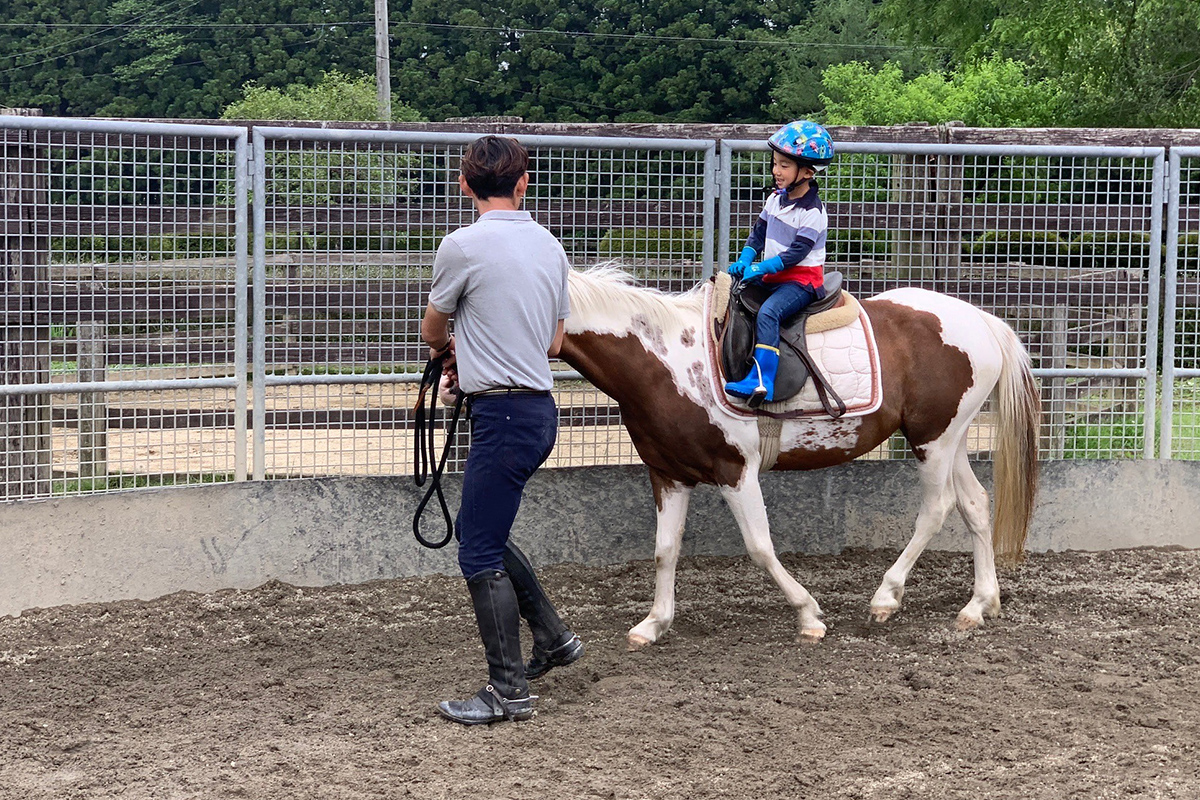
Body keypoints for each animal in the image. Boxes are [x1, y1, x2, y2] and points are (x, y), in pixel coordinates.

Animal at [556, 267, 1036, 642]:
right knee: (975, 503)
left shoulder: (735, 472)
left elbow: (760, 547)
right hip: (950, 439)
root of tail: (982, 320)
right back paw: (978, 605)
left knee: (937, 508)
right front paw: (653, 623)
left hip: (932, 441)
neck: (666, 362)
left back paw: (886, 596)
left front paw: (808, 614)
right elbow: (664, 549)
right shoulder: (669, 475)